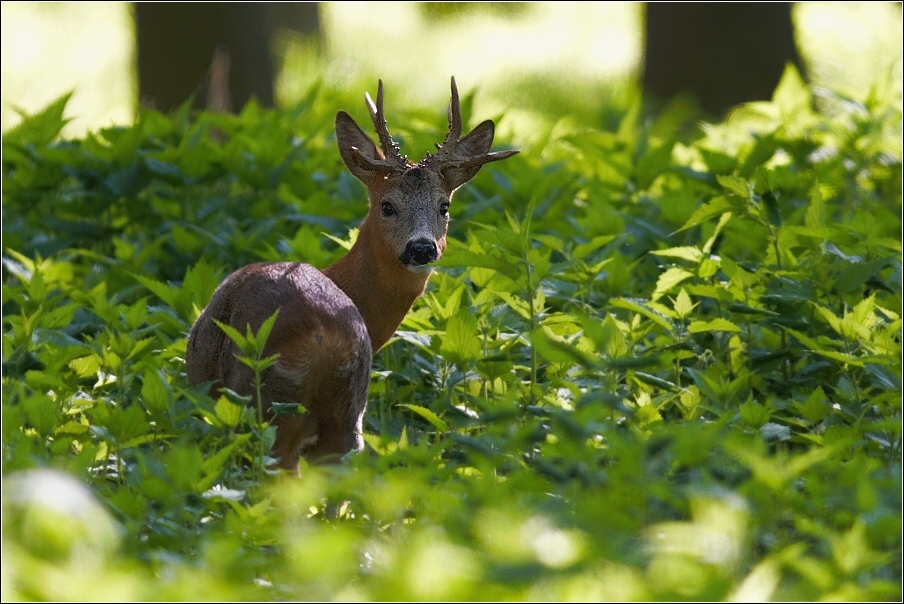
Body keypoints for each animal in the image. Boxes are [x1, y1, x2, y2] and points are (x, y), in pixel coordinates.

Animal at [185, 76, 516, 472]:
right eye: (387, 206)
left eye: (444, 205)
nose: (422, 248)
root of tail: (323, 336)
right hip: (347, 413)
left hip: (263, 401)